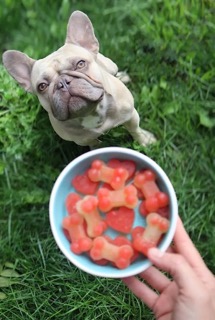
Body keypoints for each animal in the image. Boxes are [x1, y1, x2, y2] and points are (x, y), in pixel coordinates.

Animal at [2, 10, 155, 148]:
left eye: (80, 64)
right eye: (42, 86)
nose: (62, 83)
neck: (91, 112)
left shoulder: (131, 116)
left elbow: (135, 130)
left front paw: (145, 141)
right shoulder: (84, 140)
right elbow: (95, 146)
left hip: (111, 65)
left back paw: (122, 76)